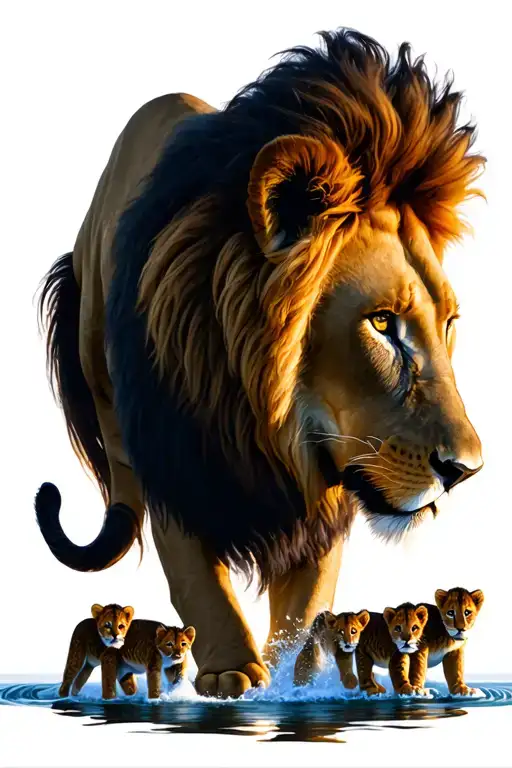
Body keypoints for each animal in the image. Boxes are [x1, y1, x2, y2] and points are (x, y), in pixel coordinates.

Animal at [35, 28, 485, 698]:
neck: (269, 423)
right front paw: (231, 674)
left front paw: (296, 673)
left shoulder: (325, 494)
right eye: (382, 323)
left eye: (450, 324)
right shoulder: (175, 457)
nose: (466, 471)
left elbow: (309, 597)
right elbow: (196, 575)